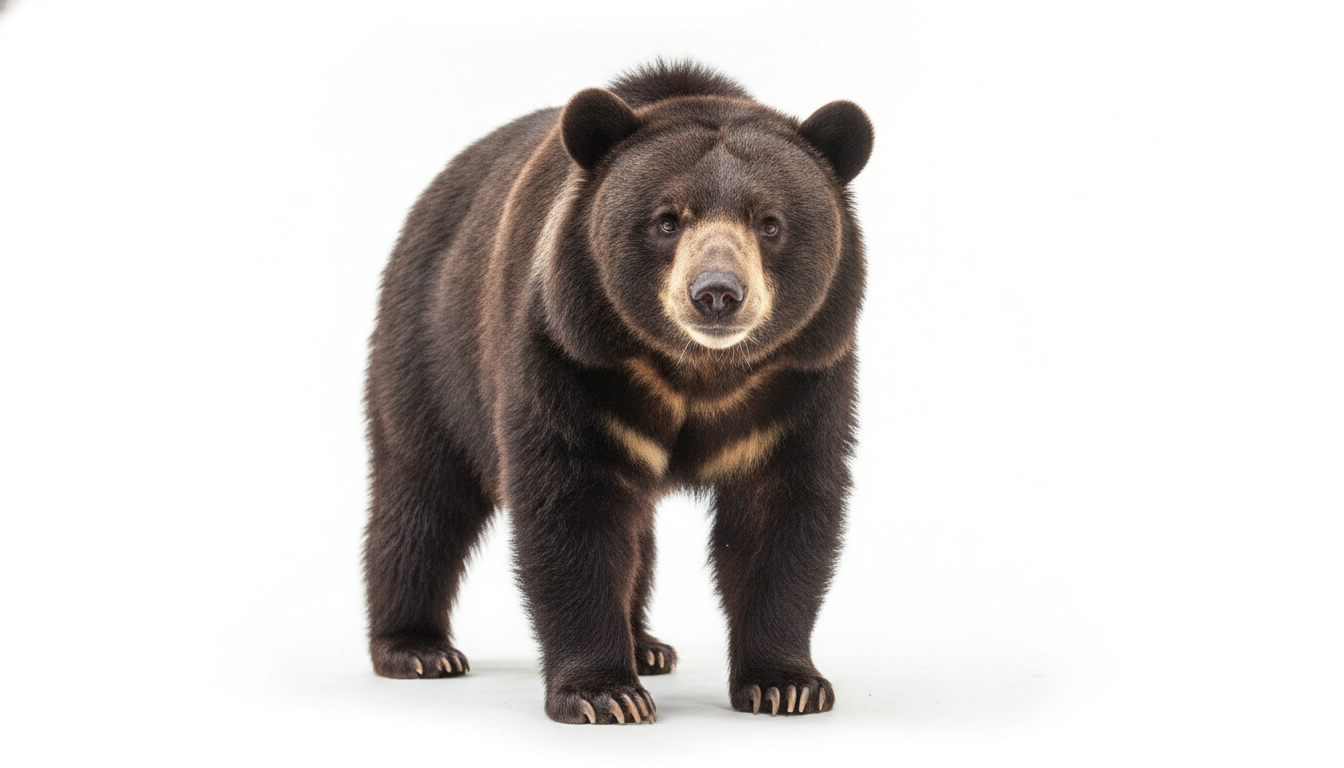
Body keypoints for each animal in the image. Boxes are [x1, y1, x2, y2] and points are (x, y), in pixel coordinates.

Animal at [363, 60, 873, 724]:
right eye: (667, 219)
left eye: (770, 222)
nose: (717, 293)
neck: (695, 371)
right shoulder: (573, 357)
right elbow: (572, 507)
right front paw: (604, 693)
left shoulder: (799, 377)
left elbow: (782, 512)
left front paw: (786, 685)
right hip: (431, 346)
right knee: (423, 493)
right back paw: (418, 648)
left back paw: (648, 644)